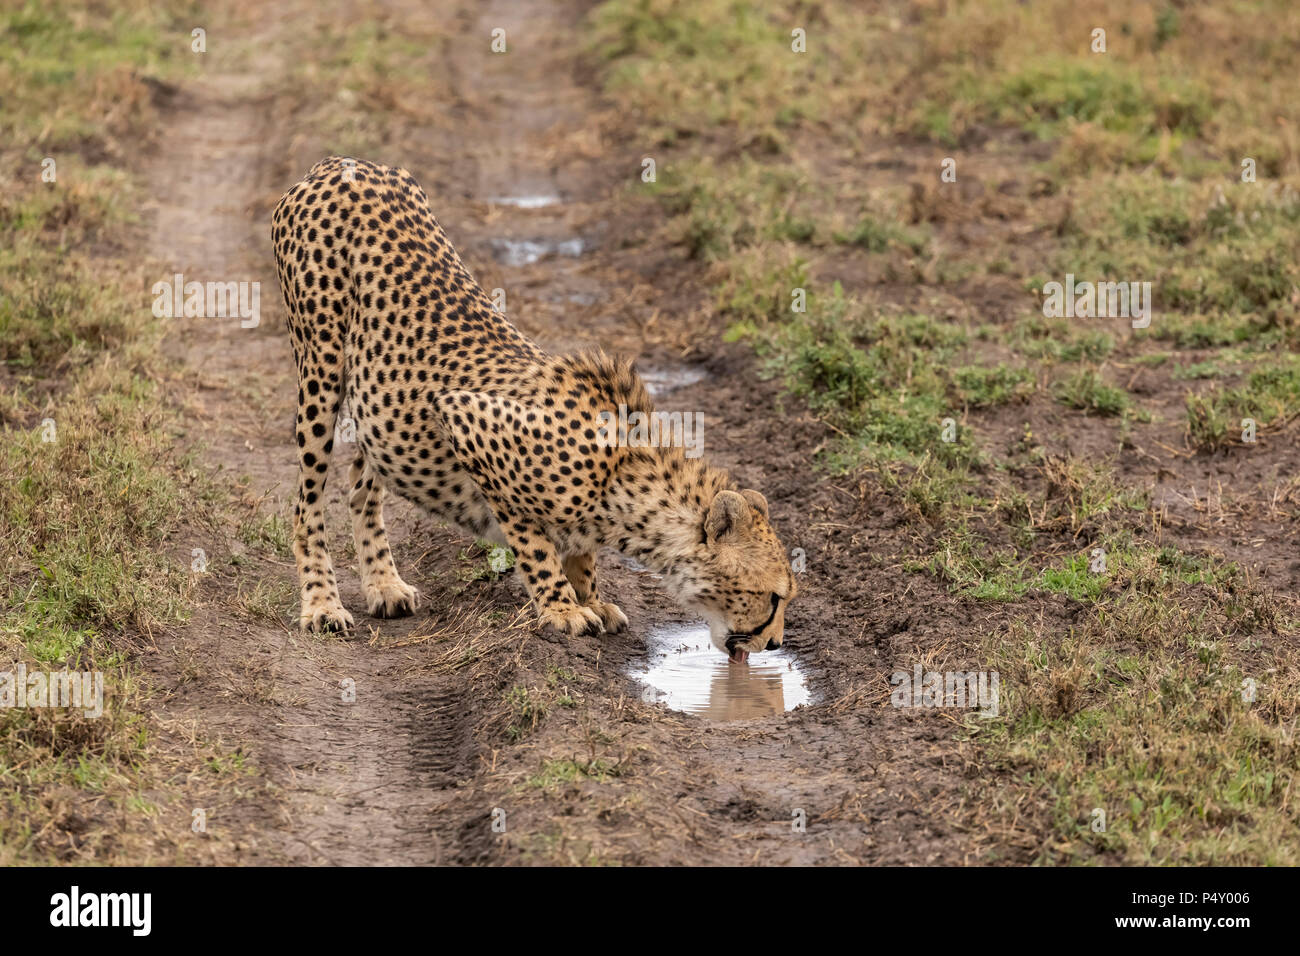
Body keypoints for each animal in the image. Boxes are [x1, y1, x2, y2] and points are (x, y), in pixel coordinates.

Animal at [271, 160, 790, 660]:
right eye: (773, 597)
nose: (775, 643)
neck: (624, 478)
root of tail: (340, 163)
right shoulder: (466, 420)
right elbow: (534, 542)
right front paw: (563, 609)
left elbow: (582, 553)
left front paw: (592, 598)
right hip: (319, 370)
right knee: (307, 503)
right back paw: (322, 605)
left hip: (379, 403)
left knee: (363, 484)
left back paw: (384, 585)